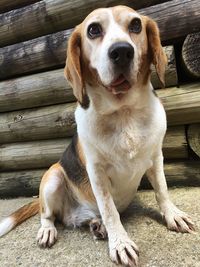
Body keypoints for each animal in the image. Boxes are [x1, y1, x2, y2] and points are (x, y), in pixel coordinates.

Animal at [0, 6, 194, 267]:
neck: (124, 113)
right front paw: (120, 243)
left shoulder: (155, 158)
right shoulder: (97, 172)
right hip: (53, 176)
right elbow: (110, 210)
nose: (122, 51)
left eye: (135, 25)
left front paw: (173, 215)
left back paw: (96, 226)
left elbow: (162, 191)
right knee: (48, 215)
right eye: (93, 30)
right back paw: (50, 230)